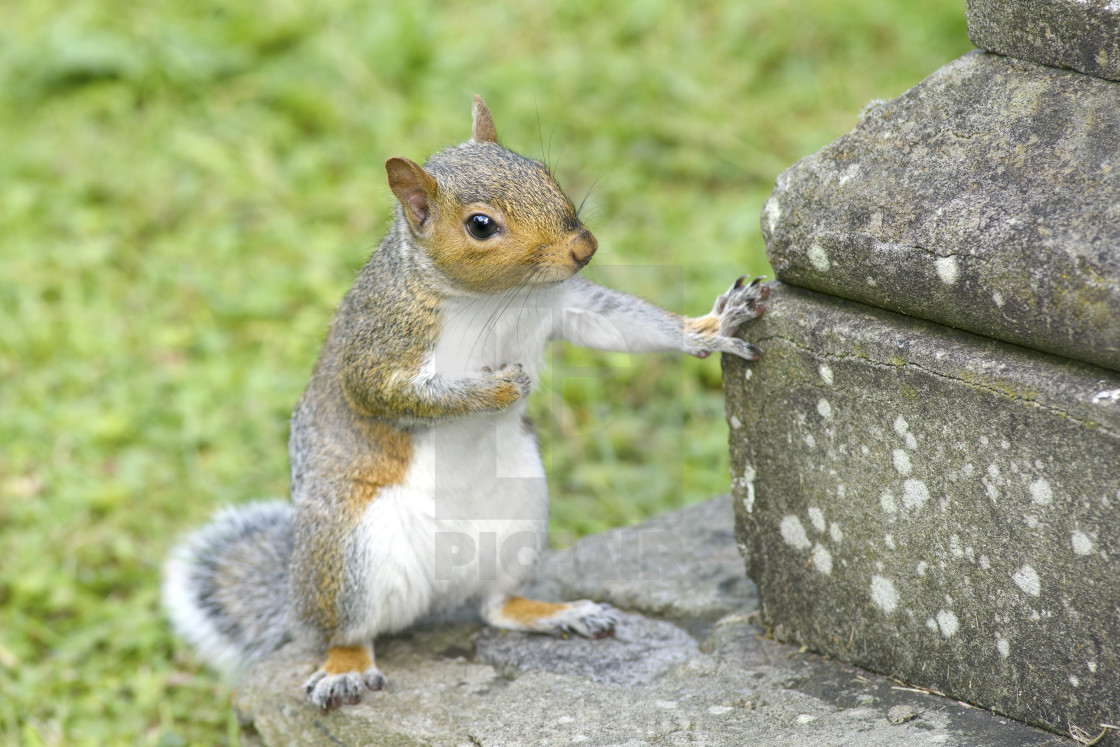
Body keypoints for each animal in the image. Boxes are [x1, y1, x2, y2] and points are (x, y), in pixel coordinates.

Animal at [162, 96, 766, 712]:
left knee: (496, 607)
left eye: (544, 173)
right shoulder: (381, 344)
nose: (584, 248)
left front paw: (709, 330)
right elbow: (391, 392)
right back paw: (344, 668)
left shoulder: (565, 304)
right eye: (480, 225)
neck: (495, 297)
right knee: (344, 632)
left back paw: (554, 613)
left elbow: (621, 324)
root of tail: (437, 594)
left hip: (522, 519)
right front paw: (499, 390)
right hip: (347, 554)